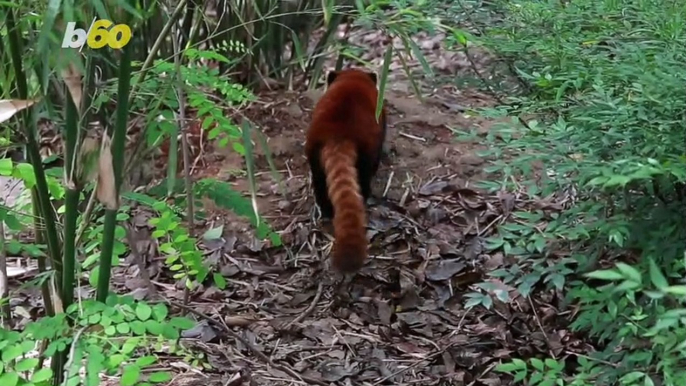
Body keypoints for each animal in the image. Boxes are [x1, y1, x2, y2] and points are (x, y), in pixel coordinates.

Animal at [306, 70, 388, 274]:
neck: (353, 77)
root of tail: (339, 134)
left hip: (313, 149)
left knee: (319, 181)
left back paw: (326, 209)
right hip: (366, 149)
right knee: (364, 175)